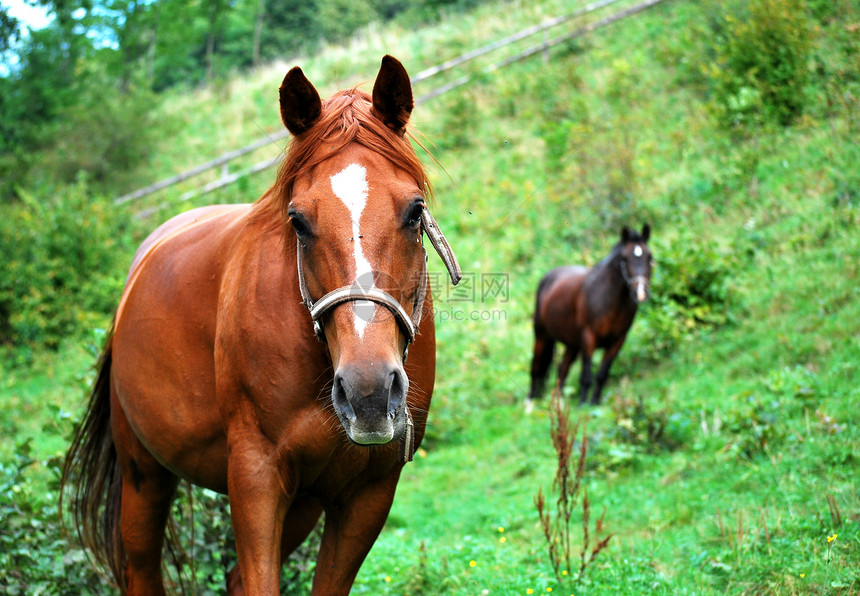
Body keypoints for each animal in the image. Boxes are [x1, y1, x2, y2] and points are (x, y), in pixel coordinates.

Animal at [60, 56, 464, 596]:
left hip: (302, 501)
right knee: (140, 570)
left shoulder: (367, 493)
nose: (369, 392)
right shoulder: (256, 477)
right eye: (298, 221)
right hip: (143, 473)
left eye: (415, 210)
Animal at [528, 226, 656, 408]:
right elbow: (586, 375)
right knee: (536, 366)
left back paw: (559, 401)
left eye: (649, 256)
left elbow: (602, 374)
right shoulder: (588, 337)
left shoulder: (617, 341)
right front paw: (583, 405)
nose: (640, 293)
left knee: (562, 369)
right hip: (542, 336)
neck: (609, 300)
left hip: (572, 344)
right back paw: (531, 401)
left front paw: (595, 403)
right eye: (624, 259)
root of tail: (547, 278)